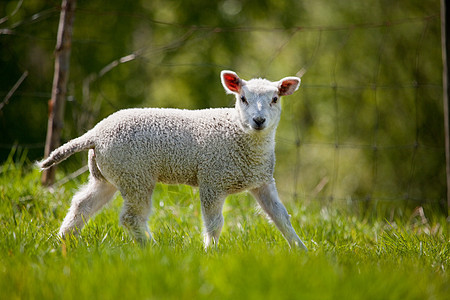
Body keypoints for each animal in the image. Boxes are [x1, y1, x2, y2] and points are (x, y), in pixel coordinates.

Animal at [37, 70, 306, 251]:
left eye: (275, 99)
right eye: (242, 99)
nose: (259, 120)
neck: (241, 136)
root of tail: (95, 133)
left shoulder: (263, 181)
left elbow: (281, 217)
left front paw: (301, 250)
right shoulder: (212, 179)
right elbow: (214, 223)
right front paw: (211, 252)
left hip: (109, 174)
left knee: (82, 204)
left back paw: (64, 240)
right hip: (135, 174)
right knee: (131, 217)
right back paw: (152, 248)